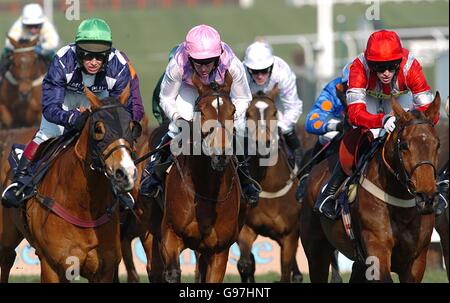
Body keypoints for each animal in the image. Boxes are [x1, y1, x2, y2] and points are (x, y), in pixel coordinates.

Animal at [0, 86, 138, 284]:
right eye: (98, 128)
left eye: (131, 127)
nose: (125, 173)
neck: (83, 206)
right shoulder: (51, 266)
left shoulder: (104, 269)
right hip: (7, 236)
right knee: (6, 258)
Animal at [161, 72, 246, 284]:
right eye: (201, 110)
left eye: (233, 111)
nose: (220, 154)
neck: (206, 190)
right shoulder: (170, 234)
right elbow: (172, 273)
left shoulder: (219, 250)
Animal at [236, 86, 302, 284]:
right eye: (248, 113)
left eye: (274, 112)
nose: (262, 142)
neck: (271, 188)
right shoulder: (246, 229)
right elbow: (245, 264)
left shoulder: (290, 236)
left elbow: (285, 272)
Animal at [300, 94, 442, 284]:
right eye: (404, 145)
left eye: (437, 144)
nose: (426, 198)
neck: (400, 205)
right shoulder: (377, 249)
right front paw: (387, 121)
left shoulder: (416, 260)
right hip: (316, 252)